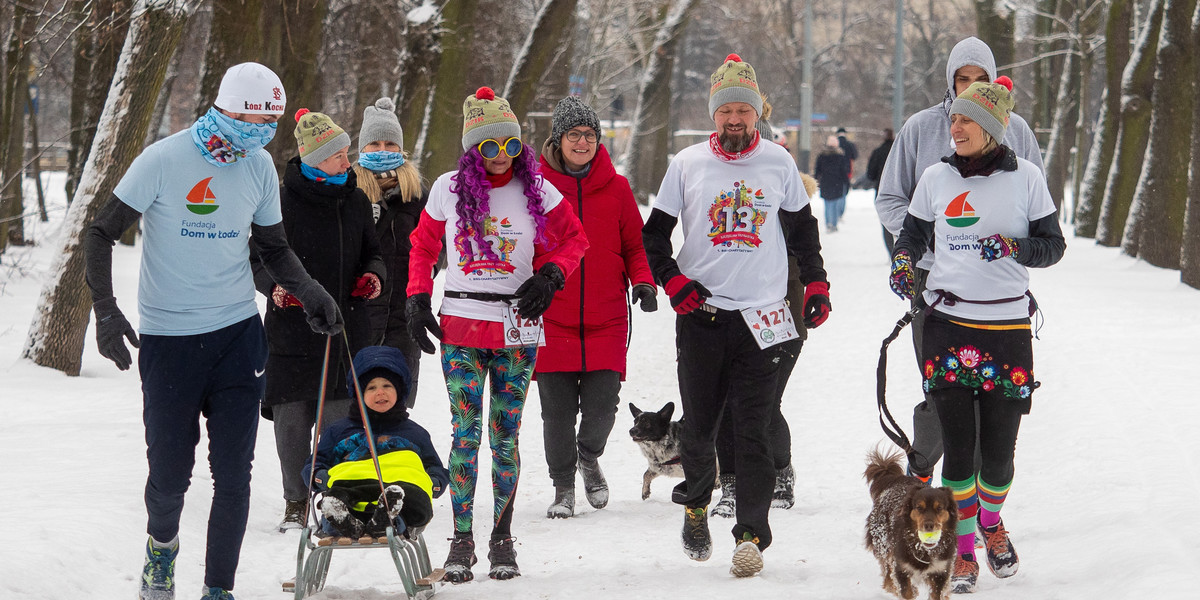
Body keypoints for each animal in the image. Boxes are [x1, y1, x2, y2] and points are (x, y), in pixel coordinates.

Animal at [864, 448, 955, 597]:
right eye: (919, 507)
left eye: (940, 508)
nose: (929, 526)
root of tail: (894, 480)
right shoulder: (901, 567)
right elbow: (905, 590)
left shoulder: (941, 570)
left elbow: (938, 593)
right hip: (884, 544)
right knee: (888, 574)